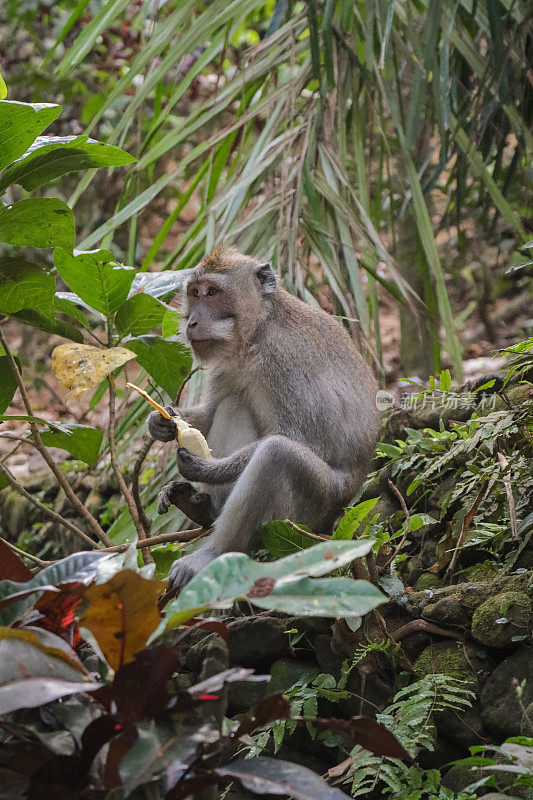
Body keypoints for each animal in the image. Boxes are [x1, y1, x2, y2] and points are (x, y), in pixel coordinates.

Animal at [148, 247, 380, 592]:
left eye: (213, 292)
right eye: (194, 293)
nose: (192, 321)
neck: (256, 333)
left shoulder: (284, 361)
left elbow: (299, 439)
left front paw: (208, 468)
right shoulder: (226, 364)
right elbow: (210, 414)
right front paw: (160, 422)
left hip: (312, 510)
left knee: (277, 455)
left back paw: (212, 553)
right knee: (233, 404)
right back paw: (205, 508)